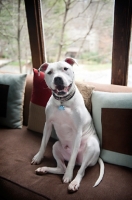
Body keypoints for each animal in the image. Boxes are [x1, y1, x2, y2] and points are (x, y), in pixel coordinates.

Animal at [31, 57, 104, 191]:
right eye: (49, 72)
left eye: (65, 68)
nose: (58, 78)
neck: (63, 102)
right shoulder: (48, 124)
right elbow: (43, 143)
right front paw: (38, 157)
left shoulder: (77, 132)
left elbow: (72, 161)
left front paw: (69, 176)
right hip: (56, 146)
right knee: (61, 168)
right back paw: (44, 169)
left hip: (91, 147)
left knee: (80, 170)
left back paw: (74, 182)